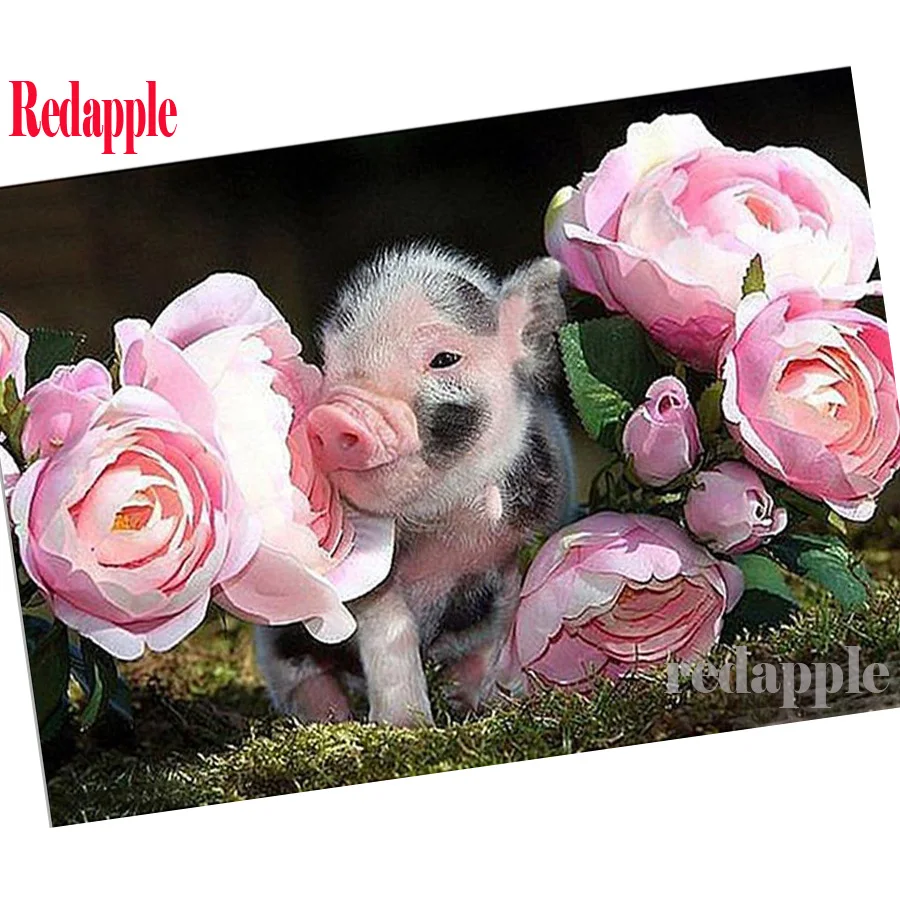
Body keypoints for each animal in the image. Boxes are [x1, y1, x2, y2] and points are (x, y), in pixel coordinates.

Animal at [254, 243, 574, 726]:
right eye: (330, 367)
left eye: (444, 359)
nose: (336, 415)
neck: (446, 526)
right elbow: (390, 630)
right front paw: (406, 725)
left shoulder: (513, 551)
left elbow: (498, 630)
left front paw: (483, 704)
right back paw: (329, 717)